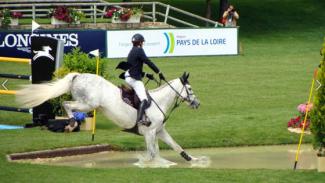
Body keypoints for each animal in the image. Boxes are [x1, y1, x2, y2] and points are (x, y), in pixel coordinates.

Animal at [15, 71, 205, 167]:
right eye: (189, 88)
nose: (197, 103)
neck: (158, 101)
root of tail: (78, 75)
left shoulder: (158, 131)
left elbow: (175, 146)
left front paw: (193, 160)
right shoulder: (149, 132)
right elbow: (152, 153)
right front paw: (152, 164)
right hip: (88, 104)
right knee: (66, 104)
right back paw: (71, 123)